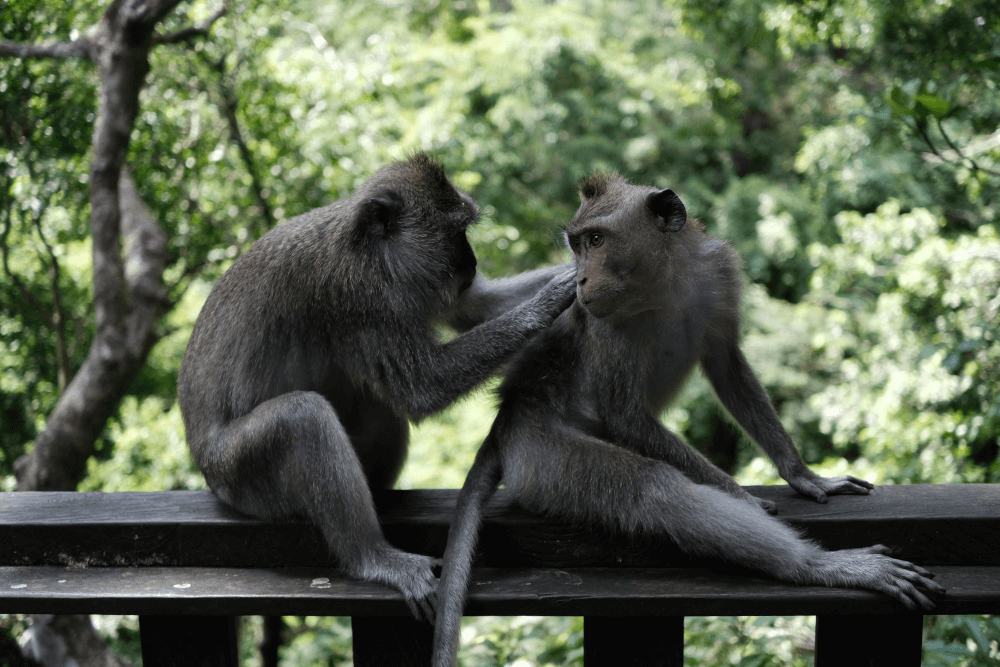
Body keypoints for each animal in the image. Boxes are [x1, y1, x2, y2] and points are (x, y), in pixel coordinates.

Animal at [176, 154, 576, 620]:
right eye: (455, 232)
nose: (472, 262)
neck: (370, 250)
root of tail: (205, 467)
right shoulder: (359, 295)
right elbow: (423, 388)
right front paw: (551, 301)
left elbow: (474, 306)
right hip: (238, 476)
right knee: (303, 419)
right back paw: (372, 556)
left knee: (375, 405)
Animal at [432, 174, 944, 667]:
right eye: (577, 244)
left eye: (595, 240)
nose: (579, 280)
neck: (663, 282)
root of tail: (508, 417)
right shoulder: (604, 324)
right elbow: (626, 415)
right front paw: (741, 496)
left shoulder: (718, 273)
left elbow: (726, 362)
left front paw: (801, 474)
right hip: (541, 457)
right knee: (654, 489)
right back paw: (817, 566)